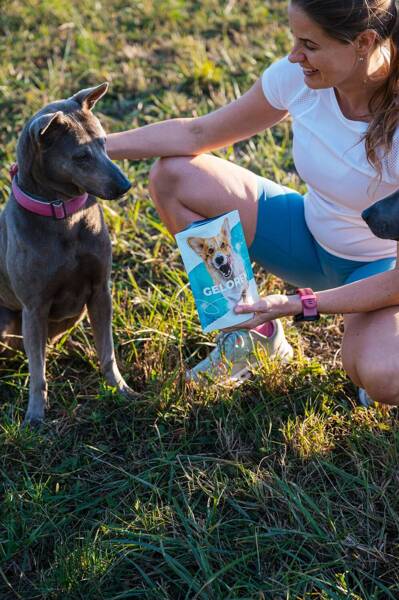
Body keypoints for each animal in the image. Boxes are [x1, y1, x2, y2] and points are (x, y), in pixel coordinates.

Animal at [0, 82, 136, 426]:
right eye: (81, 156)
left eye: (104, 142)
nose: (125, 185)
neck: (63, 215)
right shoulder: (33, 308)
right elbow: (38, 372)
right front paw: (35, 416)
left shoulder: (100, 292)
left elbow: (107, 351)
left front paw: (122, 390)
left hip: (74, 314)